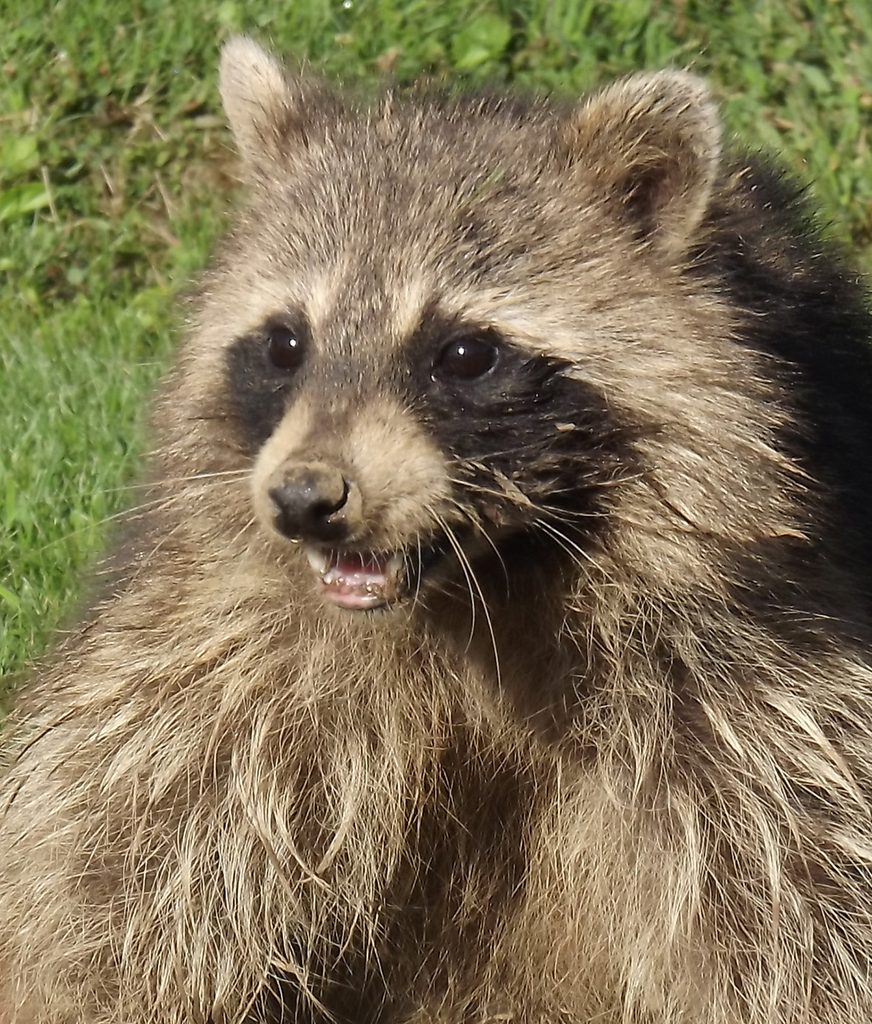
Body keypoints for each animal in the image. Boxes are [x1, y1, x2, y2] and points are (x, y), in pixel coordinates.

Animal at [2, 34, 872, 1024]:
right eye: (285, 343)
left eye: (464, 354)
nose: (304, 498)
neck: (477, 591)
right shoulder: (216, 669)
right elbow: (113, 887)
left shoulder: (756, 684)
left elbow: (804, 910)